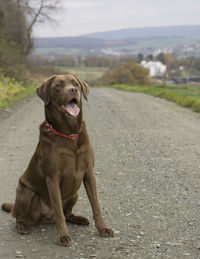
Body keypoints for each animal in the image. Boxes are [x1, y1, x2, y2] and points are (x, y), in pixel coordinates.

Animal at [1, 73, 114, 248]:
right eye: (58, 85)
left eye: (76, 84)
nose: (73, 90)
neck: (69, 133)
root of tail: (46, 217)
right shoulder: (52, 177)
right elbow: (59, 211)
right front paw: (63, 236)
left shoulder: (89, 173)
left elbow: (96, 205)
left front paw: (103, 228)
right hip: (25, 192)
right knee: (19, 216)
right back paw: (22, 226)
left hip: (74, 193)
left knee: (67, 213)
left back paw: (79, 218)